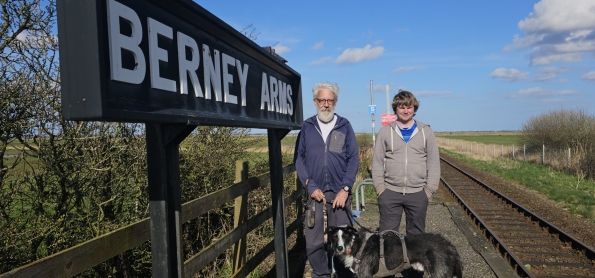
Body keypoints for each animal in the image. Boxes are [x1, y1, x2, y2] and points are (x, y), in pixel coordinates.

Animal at [328, 227, 464, 276]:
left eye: (345, 236)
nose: (339, 248)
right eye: (334, 237)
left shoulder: (365, 274)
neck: (357, 243)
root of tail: (449, 245)